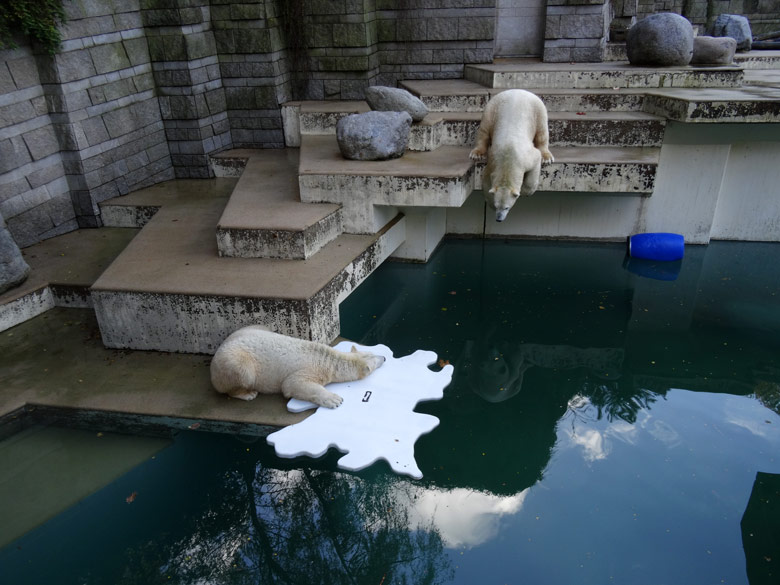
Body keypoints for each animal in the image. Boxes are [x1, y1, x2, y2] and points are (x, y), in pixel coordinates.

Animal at [212, 326, 386, 408]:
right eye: (375, 361)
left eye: (373, 353)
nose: (384, 357)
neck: (327, 360)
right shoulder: (309, 370)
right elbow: (292, 384)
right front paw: (334, 399)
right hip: (234, 361)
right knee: (242, 371)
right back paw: (248, 394)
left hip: (249, 329)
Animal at [470, 89, 556, 221]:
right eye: (497, 206)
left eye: (507, 207)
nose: (499, 219)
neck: (509, 156)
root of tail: (517, 90)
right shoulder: (493, 161)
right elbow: (486, 180)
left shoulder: (527, 157)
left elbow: (536, 159)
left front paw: (527, 192)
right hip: (493, 107)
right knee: (484, 128)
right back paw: (476, 154)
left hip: (538, 109)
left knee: (542, 132)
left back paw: (547, 157)